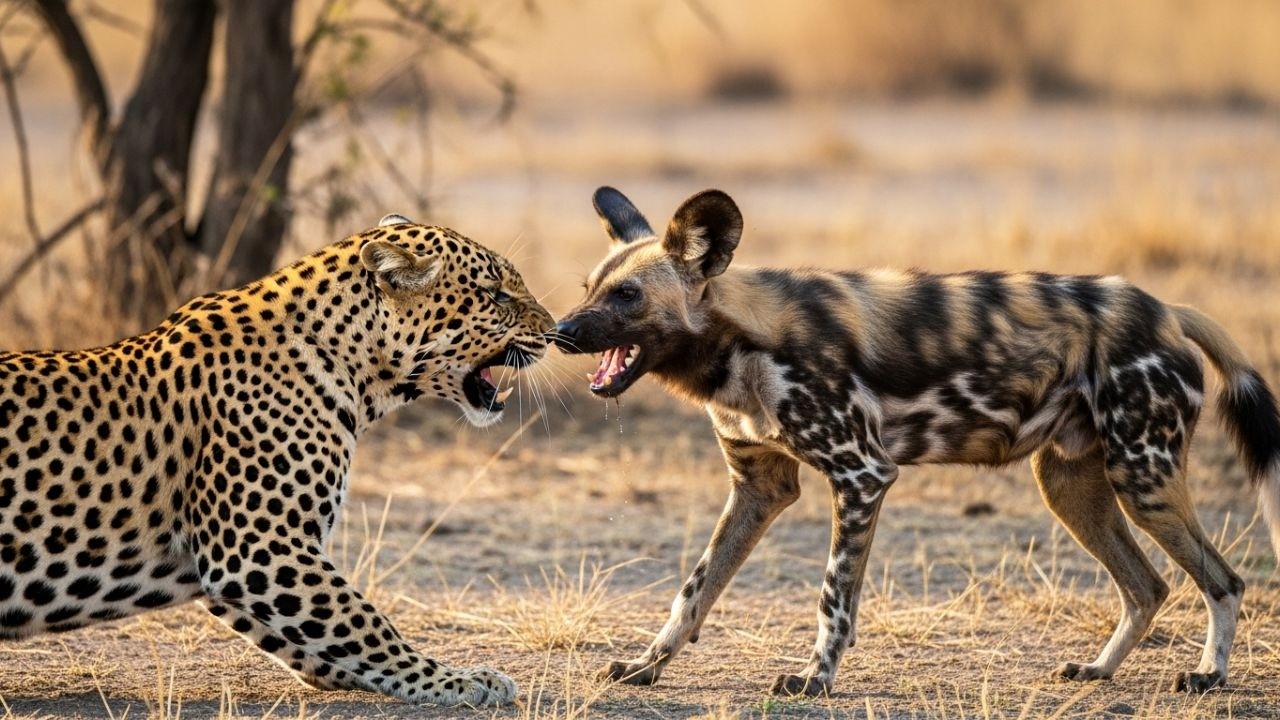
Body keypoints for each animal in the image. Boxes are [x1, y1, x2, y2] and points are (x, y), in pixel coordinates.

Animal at [0, 213, 554, 705]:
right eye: (496, 295)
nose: (553, 330)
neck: (355, 369)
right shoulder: (257, 547)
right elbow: (365, 621)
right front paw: (454, 680)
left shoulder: (237, 566)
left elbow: (327, 642)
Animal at [552, 186, 1280, 697]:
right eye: (588, 288)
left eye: (628, 296)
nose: (561, 332)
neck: (738, 343)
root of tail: (1167, 312)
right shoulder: (759, 488)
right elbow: (693, 591)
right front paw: (648, 666)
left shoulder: (862, 476)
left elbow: (833, 597)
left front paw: (815, 680)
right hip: (1074, 488)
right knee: (1148, 586)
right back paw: (1099, 670)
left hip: (1143, 477)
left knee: (1224, 580)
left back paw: (1209, 676)